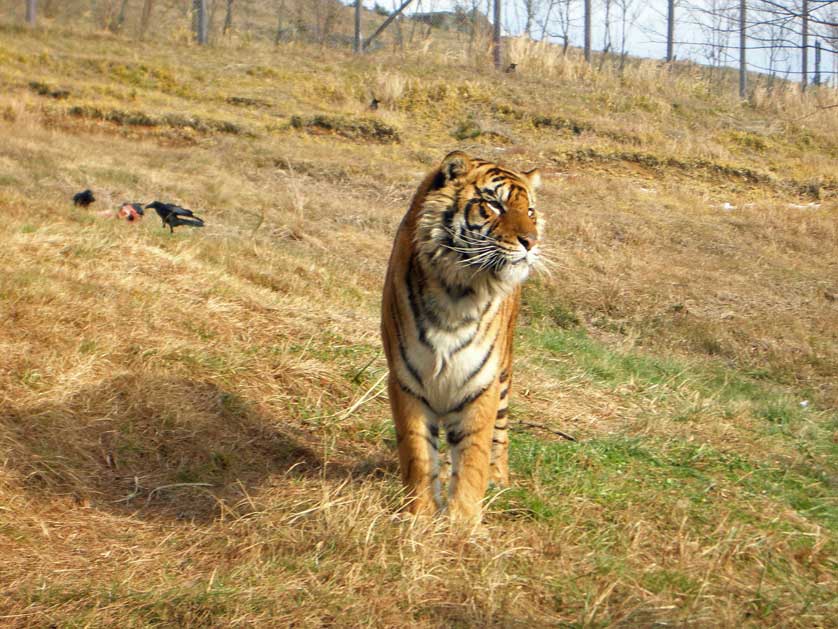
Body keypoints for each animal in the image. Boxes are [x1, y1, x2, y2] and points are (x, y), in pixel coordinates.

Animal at [381, 150, 543, 524]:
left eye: (530, 212)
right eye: (495, 205)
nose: (531, 242)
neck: (458, 291)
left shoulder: (480, 384)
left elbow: (473, 458)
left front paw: (463, 523)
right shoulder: (407, 380)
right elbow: (418, 453)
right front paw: (421, 515)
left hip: (504, 375)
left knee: (500, 434)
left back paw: (499, 479)